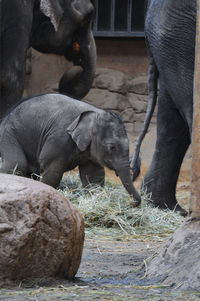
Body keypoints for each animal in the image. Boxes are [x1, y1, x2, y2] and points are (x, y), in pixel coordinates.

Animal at [0, 94, 141, 206]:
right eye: (112, 147)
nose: (133, 203)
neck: (94, 113)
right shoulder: (58, 138)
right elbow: (53, 172)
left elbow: (93, 175)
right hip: (8, 133)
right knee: (17, 164)